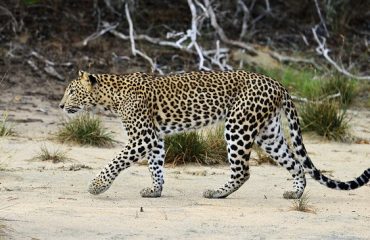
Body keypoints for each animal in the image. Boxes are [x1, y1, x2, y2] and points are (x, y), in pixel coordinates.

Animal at [59, 69, 368, 199]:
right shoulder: (154, 138)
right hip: (269, 134)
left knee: (243, 171)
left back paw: (217, 193)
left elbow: (116, 161)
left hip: (238, 125)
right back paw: (294, 194)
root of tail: (278, 83)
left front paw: (97, 186)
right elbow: (156, 165)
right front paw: (155, 190)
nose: (60, 105)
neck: (111, 96)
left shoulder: (142, 138)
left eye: (71, 91)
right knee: (295, 163)